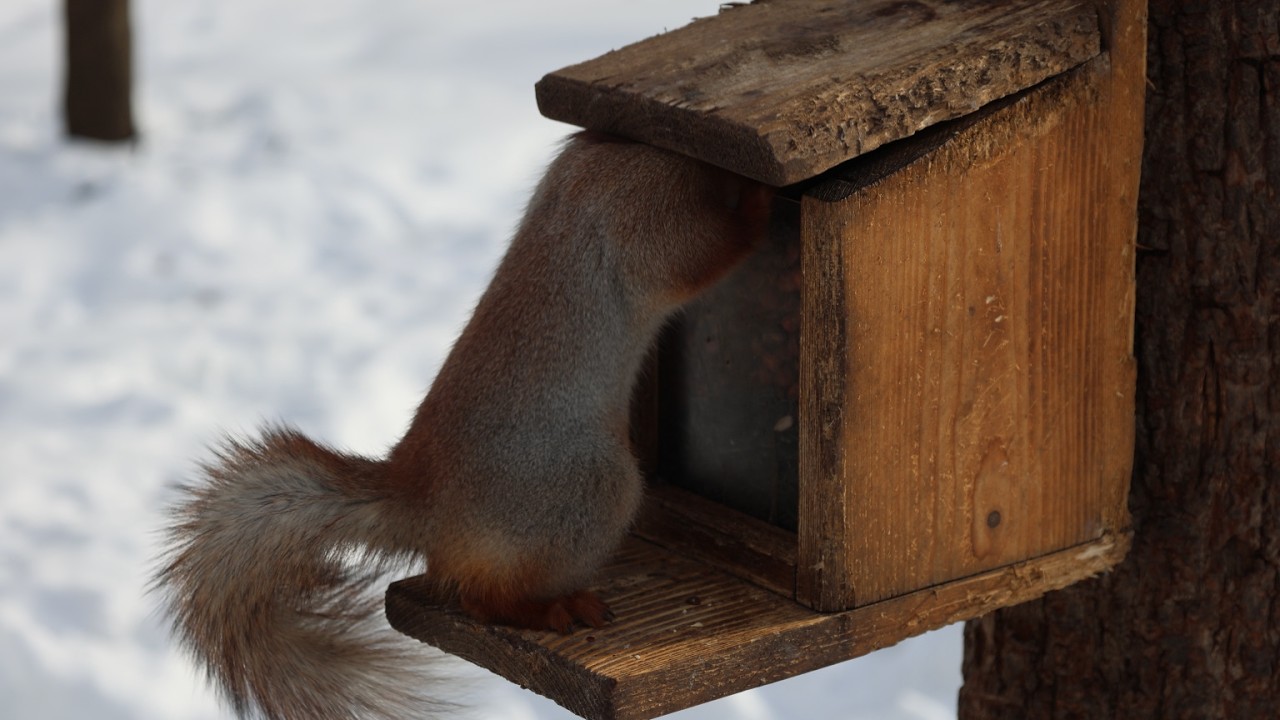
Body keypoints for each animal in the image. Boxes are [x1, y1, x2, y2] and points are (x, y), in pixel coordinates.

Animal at [154, 131, 774, 720]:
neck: (619, 148)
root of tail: (423, 501)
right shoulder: (639, 212)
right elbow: (696, 258)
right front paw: (758, 201)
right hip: (590, 493)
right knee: (483, 598)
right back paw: (557, 607)